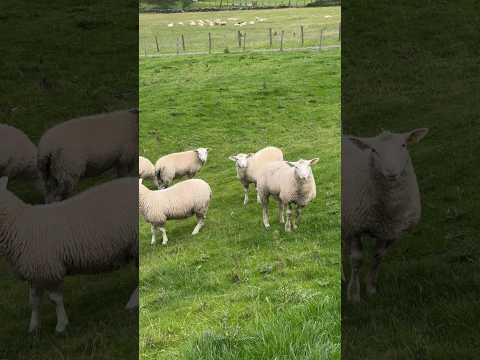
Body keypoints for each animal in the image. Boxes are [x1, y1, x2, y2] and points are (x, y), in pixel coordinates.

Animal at [0, 176, 139, 334]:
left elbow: (55, 299)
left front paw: (61, 325)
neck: (17, 224)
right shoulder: (35, 273)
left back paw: (132, 302)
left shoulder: (49, 270)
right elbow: (34, 302)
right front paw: (33, 327)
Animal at [344, 128, 430, 302]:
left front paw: (371, 288)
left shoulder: (391, 231)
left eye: (403, 145)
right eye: (373, 150)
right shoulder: (355, 226)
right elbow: (356, 260)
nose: (391, 172)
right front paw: (354, 295)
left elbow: (378, 256)